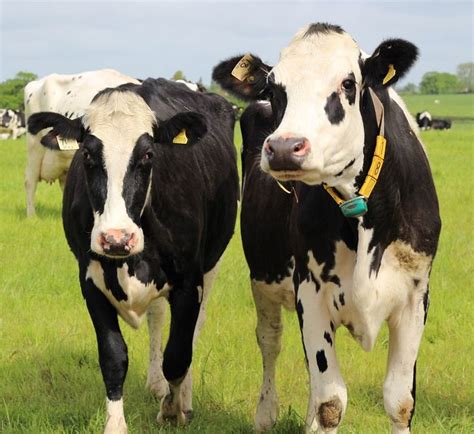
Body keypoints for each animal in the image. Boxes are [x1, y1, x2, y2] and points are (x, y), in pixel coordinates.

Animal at [212, 22, 440, 434]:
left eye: (348, 83)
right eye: (273, 89)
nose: (284, 148)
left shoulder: (415, 295)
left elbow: (400, 401)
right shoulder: (310, 290)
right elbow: (330, 403)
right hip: (263, 278)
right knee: (270, 341)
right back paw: (266, 414)